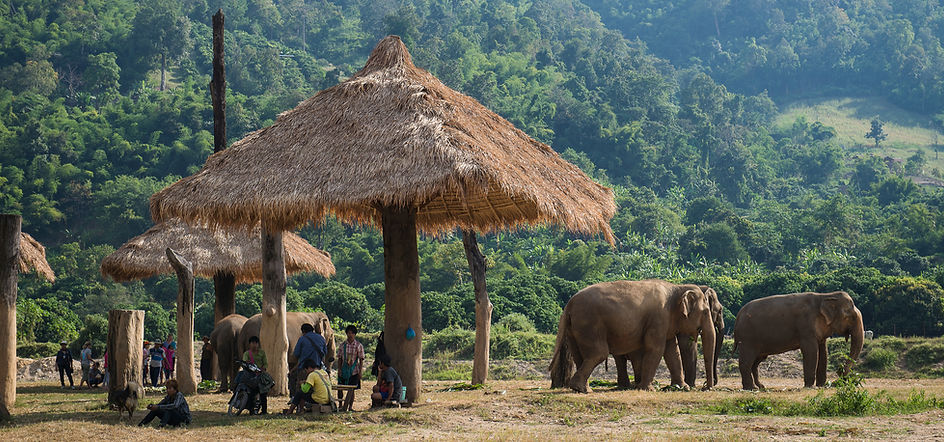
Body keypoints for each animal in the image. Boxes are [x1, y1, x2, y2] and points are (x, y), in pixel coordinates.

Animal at [549, 279, 716, 392]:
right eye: (706, 312)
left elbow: (672, 352)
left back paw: (581, 388)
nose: (706, 388)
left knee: (580, 356)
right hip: (590, 323)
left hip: (574, 328)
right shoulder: (658, 318)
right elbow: (656, 349)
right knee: (599, 353)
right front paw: (648, 389)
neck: (676, 287)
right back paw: (584, 389)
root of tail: (569, 304)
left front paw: (682, 387)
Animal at [733, 291, 863, 390]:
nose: (839, 373)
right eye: (850, 317)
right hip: (747, 339)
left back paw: (760, 387)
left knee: (755, 363)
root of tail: (738, 315)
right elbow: (811, 351)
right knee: (746, 361)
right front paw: (810, 387)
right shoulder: (806, 327)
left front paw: (821, 385)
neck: (825, 296)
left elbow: (823, 351)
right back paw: (750, 388)